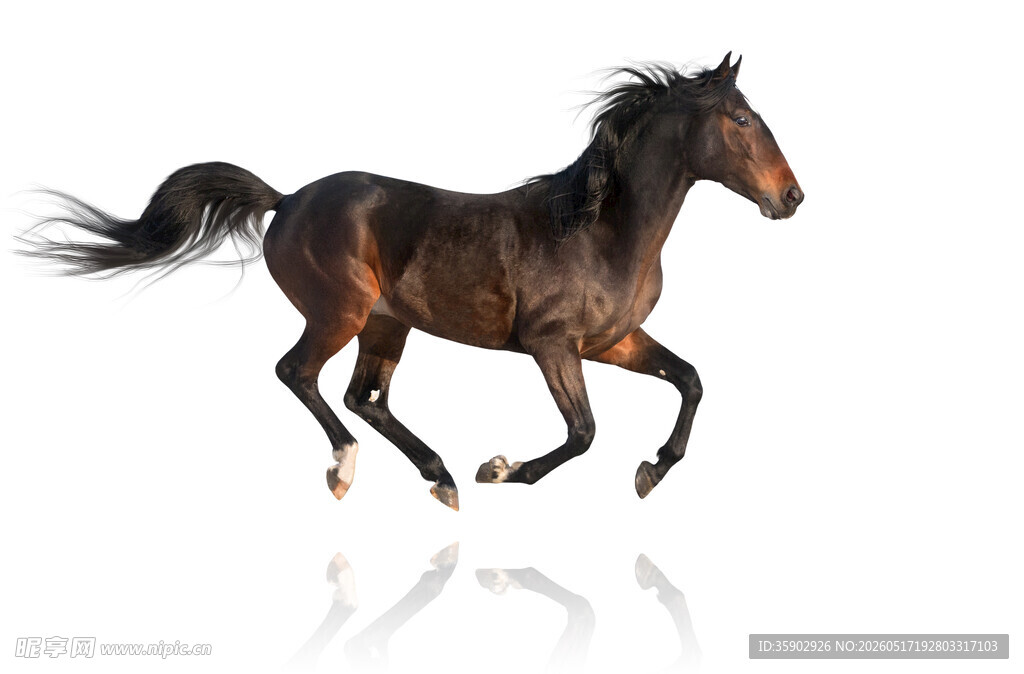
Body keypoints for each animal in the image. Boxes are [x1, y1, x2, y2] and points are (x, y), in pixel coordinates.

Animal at [22, 54, 803, 511]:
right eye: (740, 119)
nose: (791, 197)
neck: (600, 229)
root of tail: (286, 200)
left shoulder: (614, 341)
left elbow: (691, 380)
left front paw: (652, 471)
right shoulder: (553, 345)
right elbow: (583, 432)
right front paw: (500, 470)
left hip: (387, 323)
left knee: (363, 396)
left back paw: (439, 476)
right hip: (340, 313)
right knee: (299, 375)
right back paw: (350, 471)